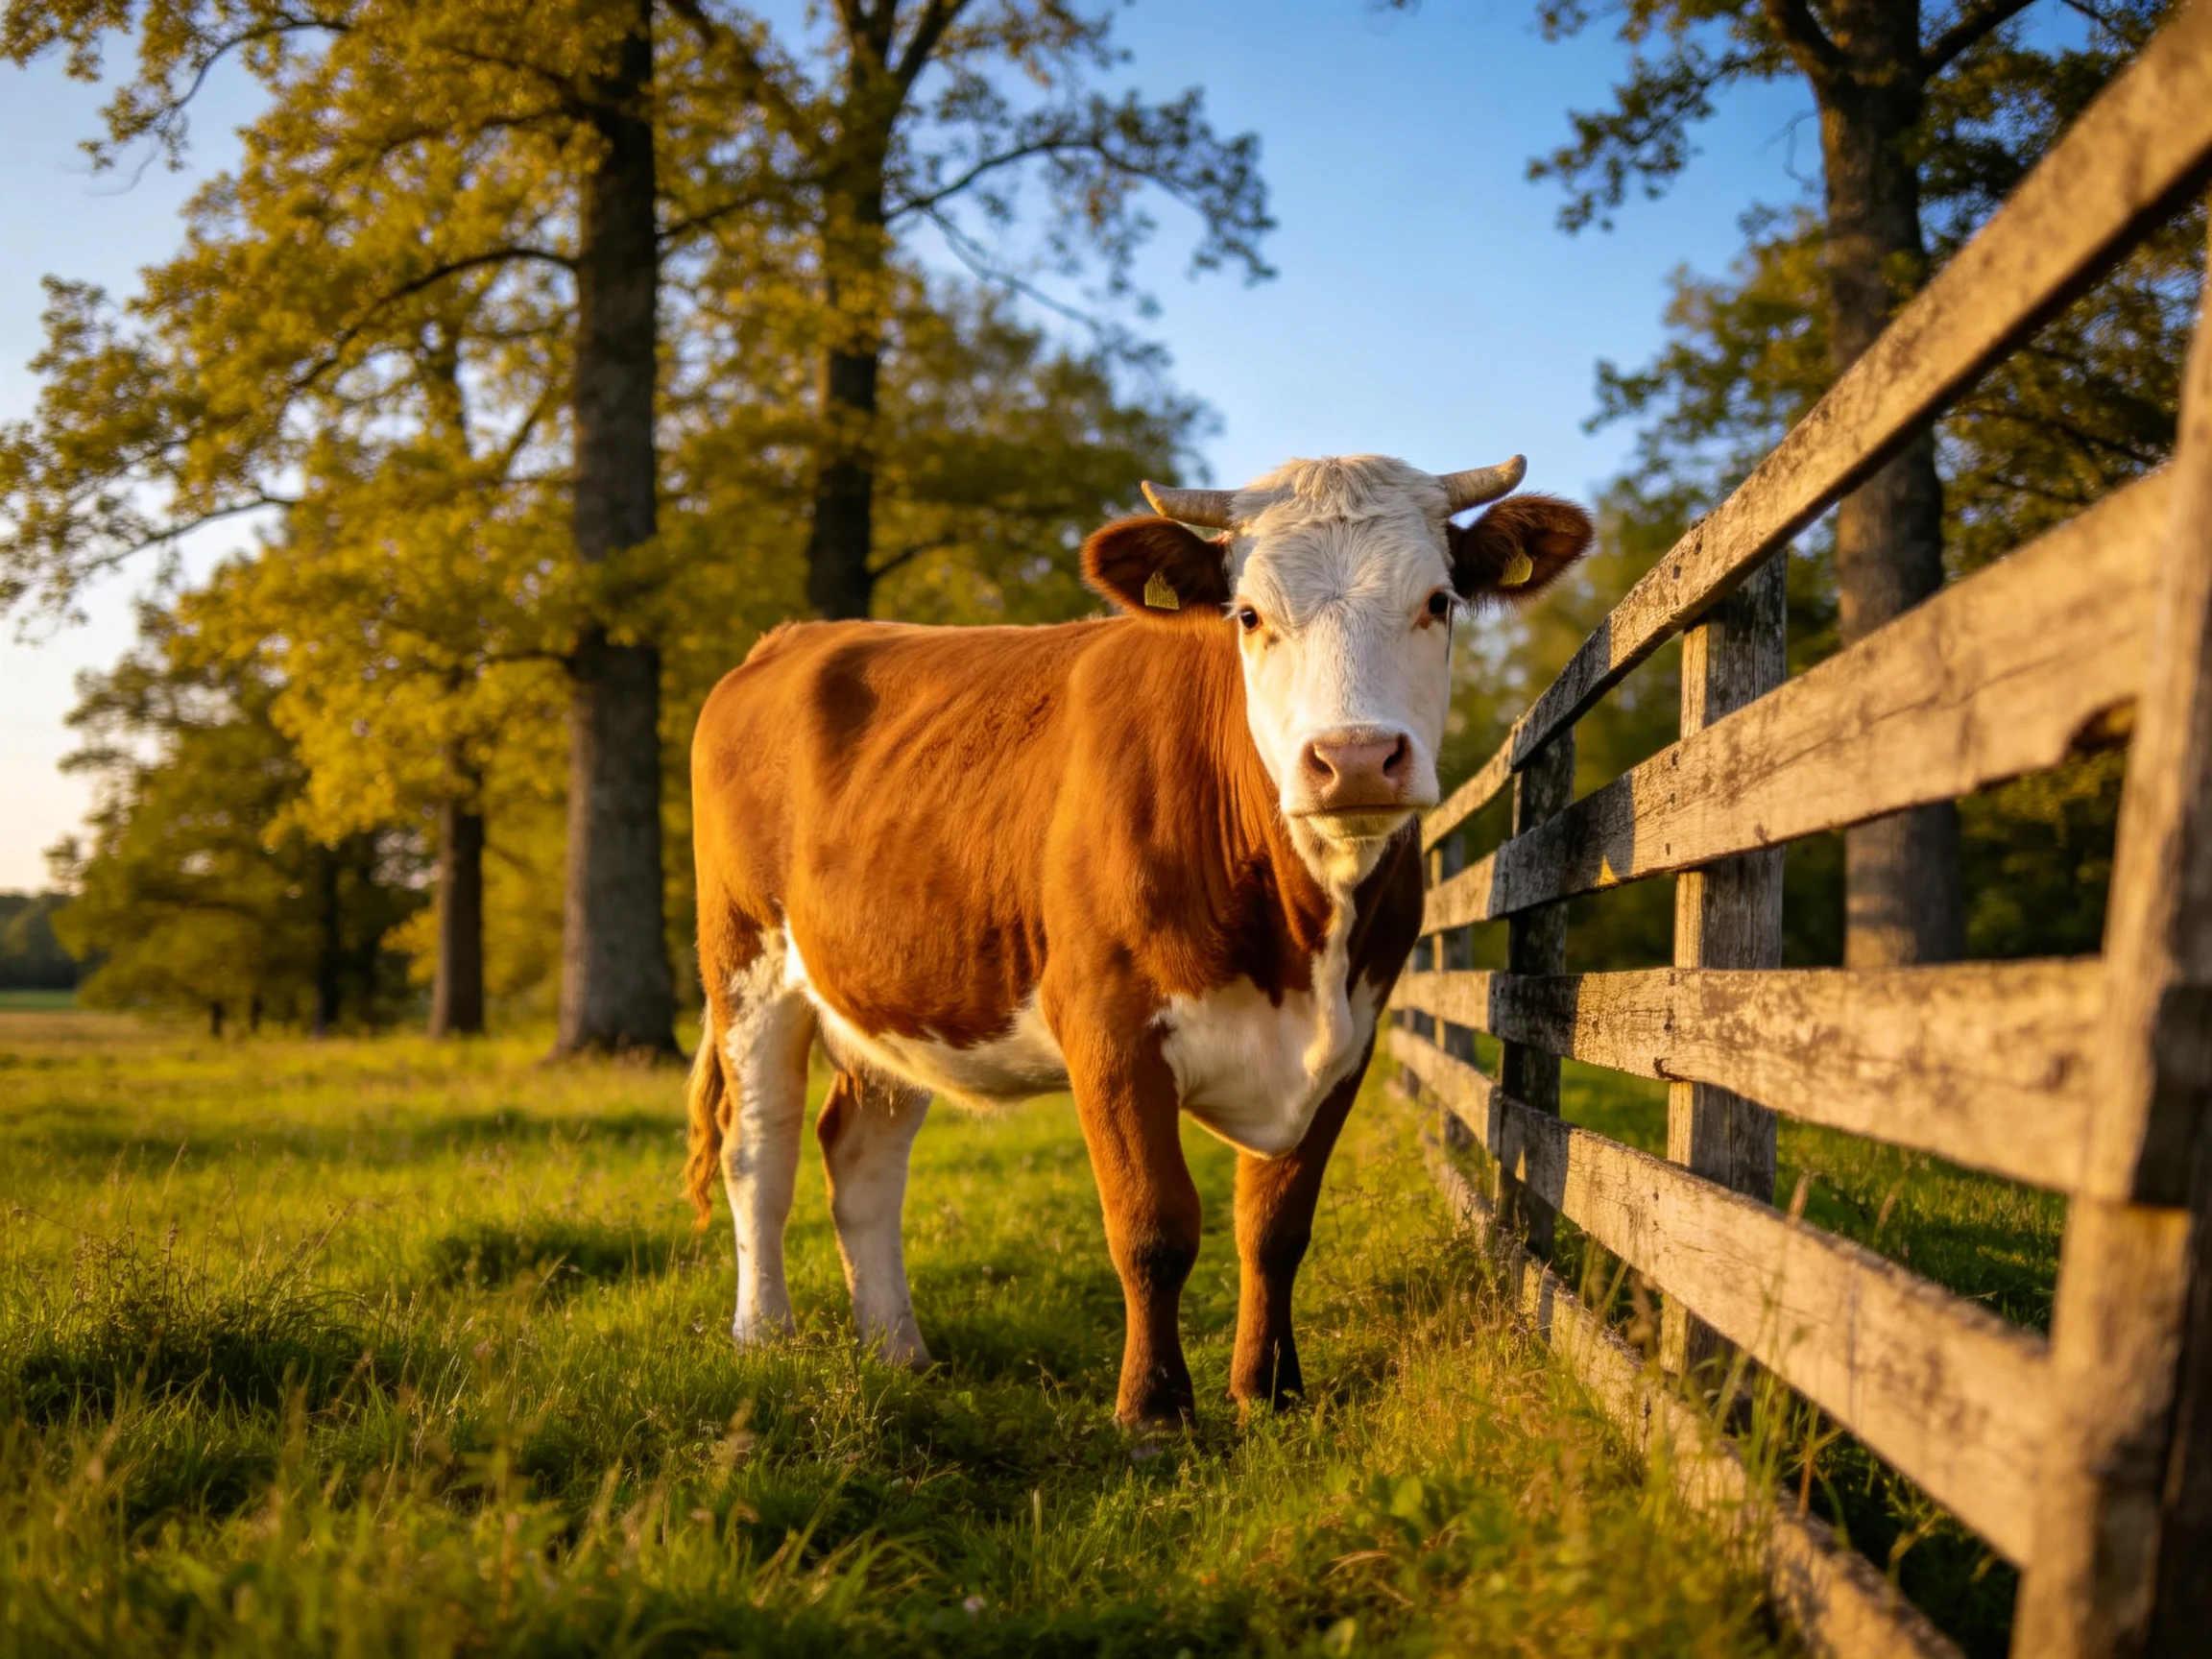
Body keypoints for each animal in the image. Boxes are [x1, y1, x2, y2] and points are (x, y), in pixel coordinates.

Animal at [682, 453, 1592, 1427]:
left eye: (1438, 602)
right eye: (1248, 615)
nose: (1353, 759)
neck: (1301, 940)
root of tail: (792, 638)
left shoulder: (1351, 1035)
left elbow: (1275, 1227)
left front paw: (1268, 1389)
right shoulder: (1107, 1024)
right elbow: (1153, 1225)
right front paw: (1154, 1410)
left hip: (893, 995)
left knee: (861, 1156)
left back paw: (899, 1355)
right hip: (746, 965)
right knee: (759, 1151)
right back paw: (765, 1337)